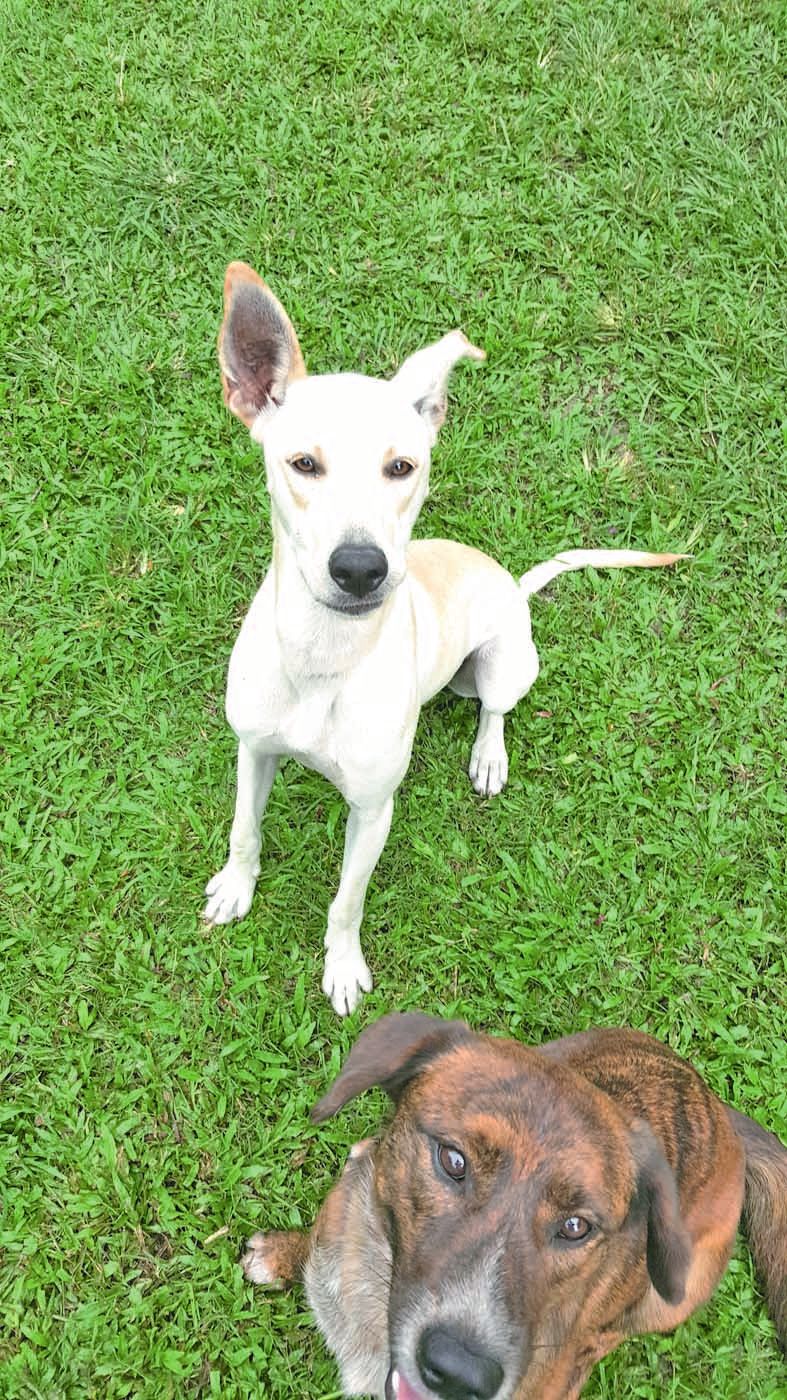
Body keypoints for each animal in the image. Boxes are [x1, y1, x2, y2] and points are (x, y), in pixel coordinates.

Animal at [201, 263, 680, 1013]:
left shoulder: (373, 810)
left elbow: (346, 901)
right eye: (302, 463)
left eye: (402, 467)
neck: (321, 656)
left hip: (504, 664)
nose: (360, 569)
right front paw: (235, 886)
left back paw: (488, 757)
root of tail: (511, 583)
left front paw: (342, 966)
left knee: (494, 711)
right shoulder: (253, 748)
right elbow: (245, 830)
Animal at [240, 1019, 784, 1400]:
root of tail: (721, 1113)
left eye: (575, 1226)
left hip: (671, 1292)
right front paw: (282, 1254)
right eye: (453, 1160)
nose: (461, 1373)